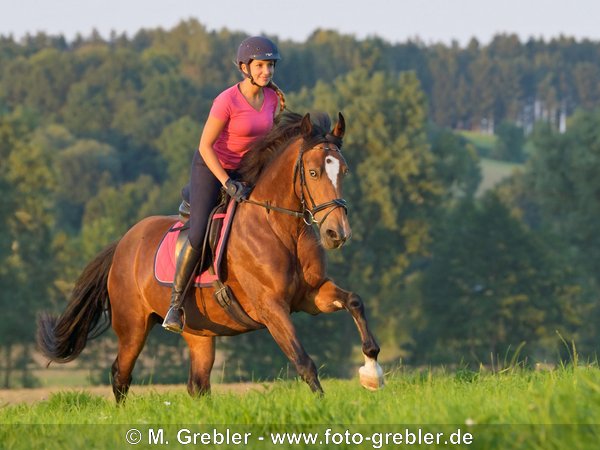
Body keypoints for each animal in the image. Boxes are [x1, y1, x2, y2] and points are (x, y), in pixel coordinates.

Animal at [37, 110, 384, 402]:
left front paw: (372, 371)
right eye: (312, 172)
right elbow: (303, 361)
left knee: (198, 385)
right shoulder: (271, 308)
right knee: (120, 375)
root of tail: (123, 243)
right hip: (132, 326)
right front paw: (323, 407)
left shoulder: (310, 295)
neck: (281, 228)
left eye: (344, 171)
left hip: (199, 333)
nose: (337, 234)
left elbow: (354, 301)